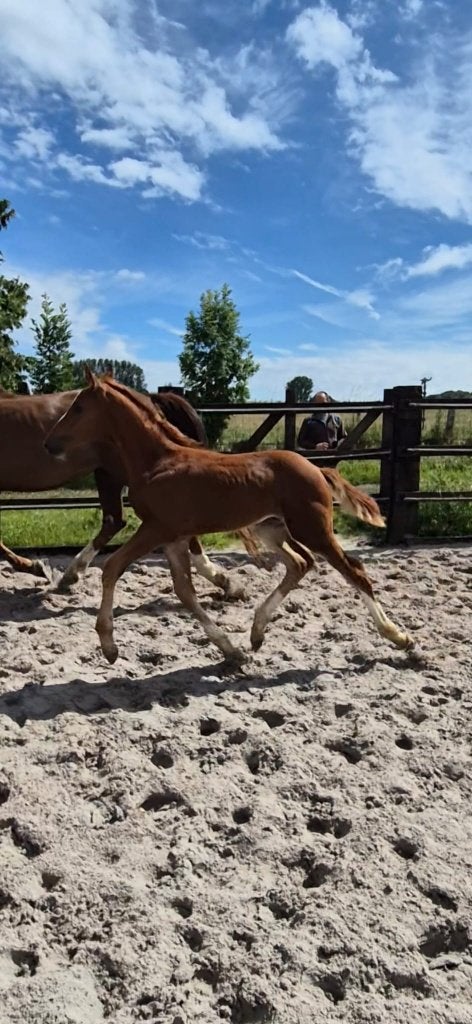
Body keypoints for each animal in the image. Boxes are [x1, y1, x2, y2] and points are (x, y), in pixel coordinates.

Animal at [0, 385, 244, 598]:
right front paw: (33, 566)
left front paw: (33, 566)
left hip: (118, 473)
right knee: (115, 521)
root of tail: (151, 399)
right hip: (109, 474)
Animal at [44, 371, 414, 665]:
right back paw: (256, 633)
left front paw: (108, 645)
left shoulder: (156, 529)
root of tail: (316, 469)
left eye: (79, 407)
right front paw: (230, 649)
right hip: (271, 528)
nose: (49, 444)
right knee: (300, 563)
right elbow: (185, 593)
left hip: (312, 528)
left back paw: (399, 637)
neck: (158, 461)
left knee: (354, 571)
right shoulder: (174, 538)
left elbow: (112, 568)